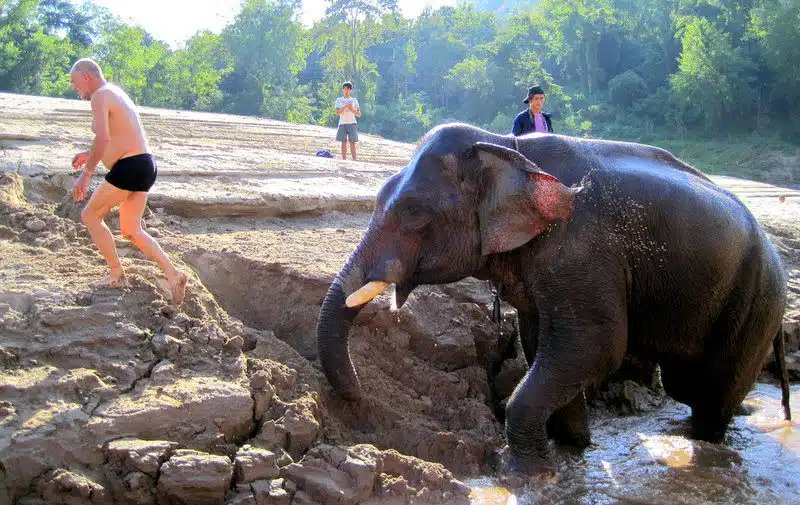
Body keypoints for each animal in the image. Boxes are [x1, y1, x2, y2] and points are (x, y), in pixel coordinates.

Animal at [315, 123, 791, 475]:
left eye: (413, 212)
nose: (358, 397)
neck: (506, 148)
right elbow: (540, 339)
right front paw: (574, 447)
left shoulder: (580, 246)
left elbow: (594, 346)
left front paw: (530, 473)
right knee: (686, 382)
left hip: (756, 300)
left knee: (709, 389)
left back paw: (706, 444)